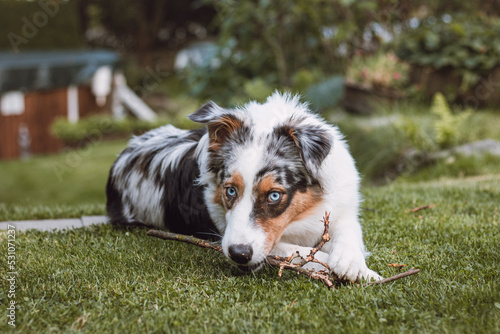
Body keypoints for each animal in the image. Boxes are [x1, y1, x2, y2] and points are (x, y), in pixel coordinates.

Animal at [104, 92, 378, 284]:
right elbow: (293, 250)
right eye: (230, 191)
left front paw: (353, 263)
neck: (303, 214)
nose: (239, 254)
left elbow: (350, 230)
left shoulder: (342, 205)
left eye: (274, 195)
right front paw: (335, 264)